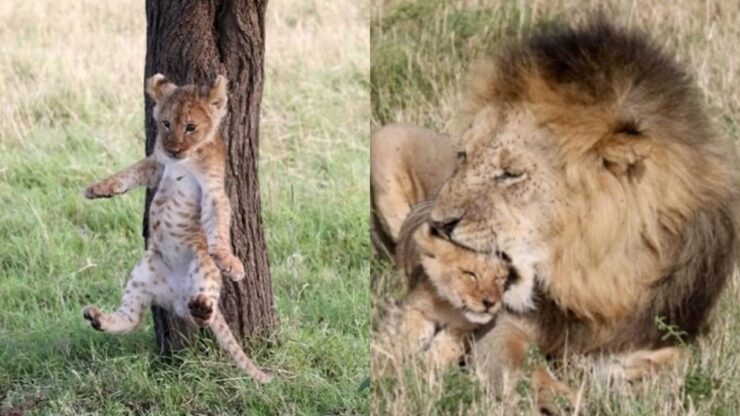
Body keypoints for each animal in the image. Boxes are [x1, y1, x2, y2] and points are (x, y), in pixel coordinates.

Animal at [376, 18, 740, 390]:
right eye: (463, 156)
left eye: (510, 174)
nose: (438, 223)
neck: (594, 278)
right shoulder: (497, 327)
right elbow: (524, 373)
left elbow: (673, 363)